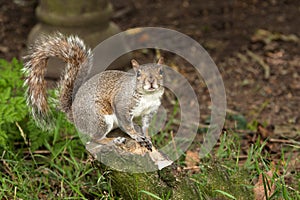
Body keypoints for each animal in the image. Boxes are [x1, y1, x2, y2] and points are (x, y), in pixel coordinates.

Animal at [23, 32, 164, 151]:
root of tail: (72, 113)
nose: (151, 82)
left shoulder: (150, 111)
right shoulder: (123, 104)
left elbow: (145, 127)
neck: (148, 96)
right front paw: (136, 136)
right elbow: (127, 125)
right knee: (96, 138)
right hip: (100, 118)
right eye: (138, 73)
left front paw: (148, 138)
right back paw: (114, 141)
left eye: (161, 71)